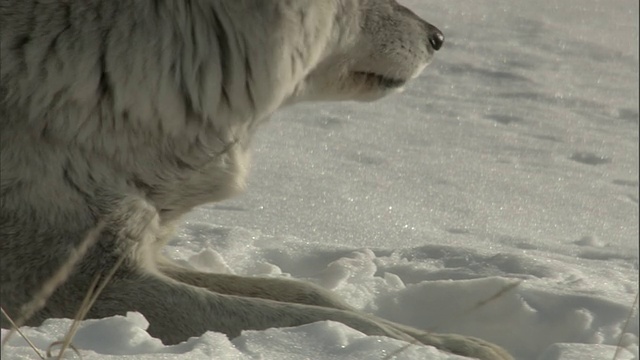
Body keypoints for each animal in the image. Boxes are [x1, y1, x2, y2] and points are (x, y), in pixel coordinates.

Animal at [0, 1, 510, 358]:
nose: (438, 37)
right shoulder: (78, 287)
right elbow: (318, 319)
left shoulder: (140, 254)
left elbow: (314, 294)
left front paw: (469, 344)